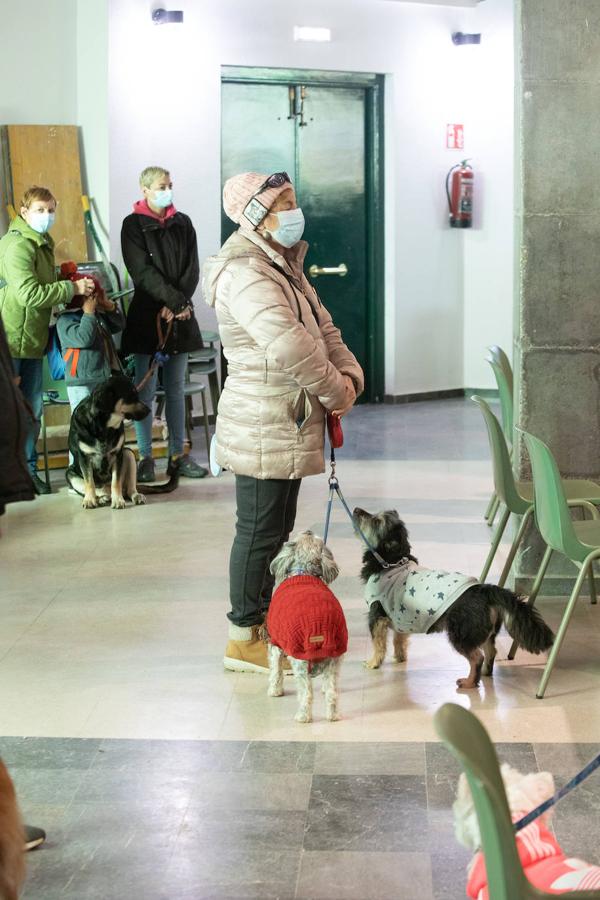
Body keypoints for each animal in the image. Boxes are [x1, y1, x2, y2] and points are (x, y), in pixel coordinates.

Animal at [67, 376, 178, 510]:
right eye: (131, 395)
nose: (149, 410)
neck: (104, 427)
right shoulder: (84, 457)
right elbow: (89, 482)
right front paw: (89, 500)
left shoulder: (118, 455)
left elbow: (116, 482)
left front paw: (118, 500)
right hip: (70, 474)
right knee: (97, 489)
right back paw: (100, 498)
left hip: (128, 454)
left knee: (129, 489)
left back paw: (134, 496)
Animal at [266, 536, 346, 724]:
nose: (308, 531)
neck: (303, 572)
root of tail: (321, 633)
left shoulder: (275, 642)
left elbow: (275, 670)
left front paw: (275, 690)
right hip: (335, 657)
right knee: (332, 693)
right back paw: (333, 715)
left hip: (300, 660)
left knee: (306, 694)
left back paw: (303, 716)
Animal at [352, 506, 552, 688]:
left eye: (376, 521)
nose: (355, 509)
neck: (391, 562)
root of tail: (484, 589)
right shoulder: (399, 617)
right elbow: (398, 640)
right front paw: (400, 658)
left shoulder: (377, 616)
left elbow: (378, 644)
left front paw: (373, 663)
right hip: (485, 633)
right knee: (491, 651)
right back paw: (484, 674)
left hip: (461, 634)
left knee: (477, 657)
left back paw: (470, 682)